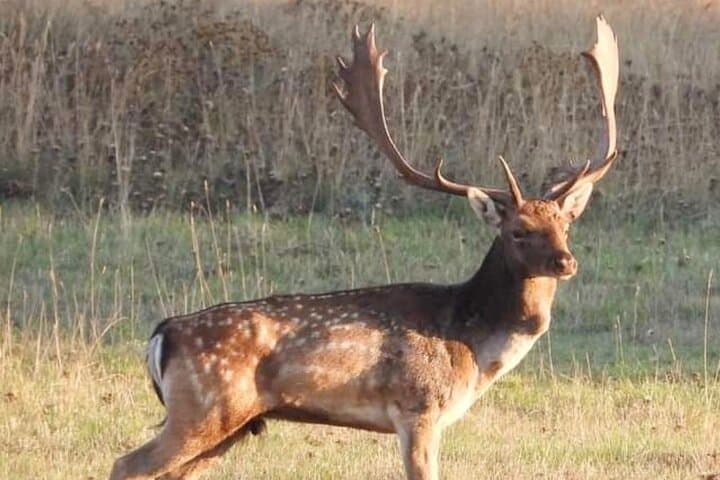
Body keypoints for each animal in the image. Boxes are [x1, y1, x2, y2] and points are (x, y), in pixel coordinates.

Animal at [110, 15, 619, 480]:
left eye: (565, 224)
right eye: (518, 231)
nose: (566, 262)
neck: (472, 346)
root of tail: (162, 334)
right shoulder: (418, 407)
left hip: (230, 423)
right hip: (204, 407)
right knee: (126, 464)